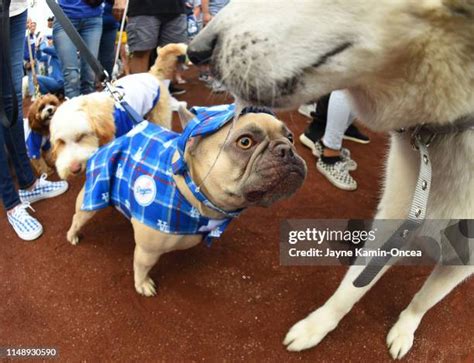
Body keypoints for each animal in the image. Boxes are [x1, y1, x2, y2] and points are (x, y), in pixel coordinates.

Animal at [65, 104, 306, 296]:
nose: (286, 149)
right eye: (245, 142)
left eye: (290, 137)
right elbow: (141, 266)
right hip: (93, 194)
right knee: (78, 217)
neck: (189, 192)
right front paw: (142, 285)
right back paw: (73, 235)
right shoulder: (147, 251)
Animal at [189, 0, 474, 360]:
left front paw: (404, 329)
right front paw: (315, 327)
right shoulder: (396, 221)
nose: (195, 51)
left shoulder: (461, 262)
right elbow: (350, 290)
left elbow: (424, 300)